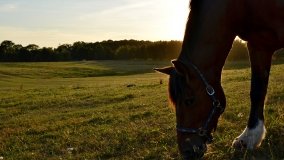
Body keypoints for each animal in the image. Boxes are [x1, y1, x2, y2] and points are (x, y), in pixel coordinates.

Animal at [155, 0, 284, 159]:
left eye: (189, 101)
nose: (186, 151)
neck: (241, 6)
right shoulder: (259, 45)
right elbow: (257, 91)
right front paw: (250, 137)